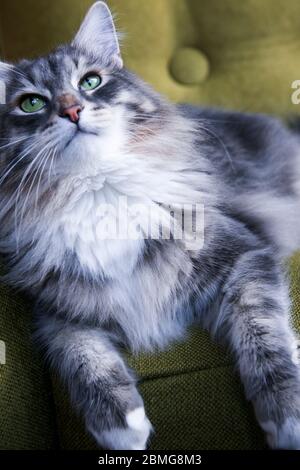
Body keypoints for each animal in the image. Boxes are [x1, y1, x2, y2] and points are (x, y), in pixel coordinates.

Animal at [0, 0, 300, 452]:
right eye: (31, 103)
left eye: (90, 81)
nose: (72, 110)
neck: (99, 193)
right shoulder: (57, 315)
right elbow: (83, 357)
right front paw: (122, 426)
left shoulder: (245, 254)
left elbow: (265, 334)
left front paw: (286, 416)